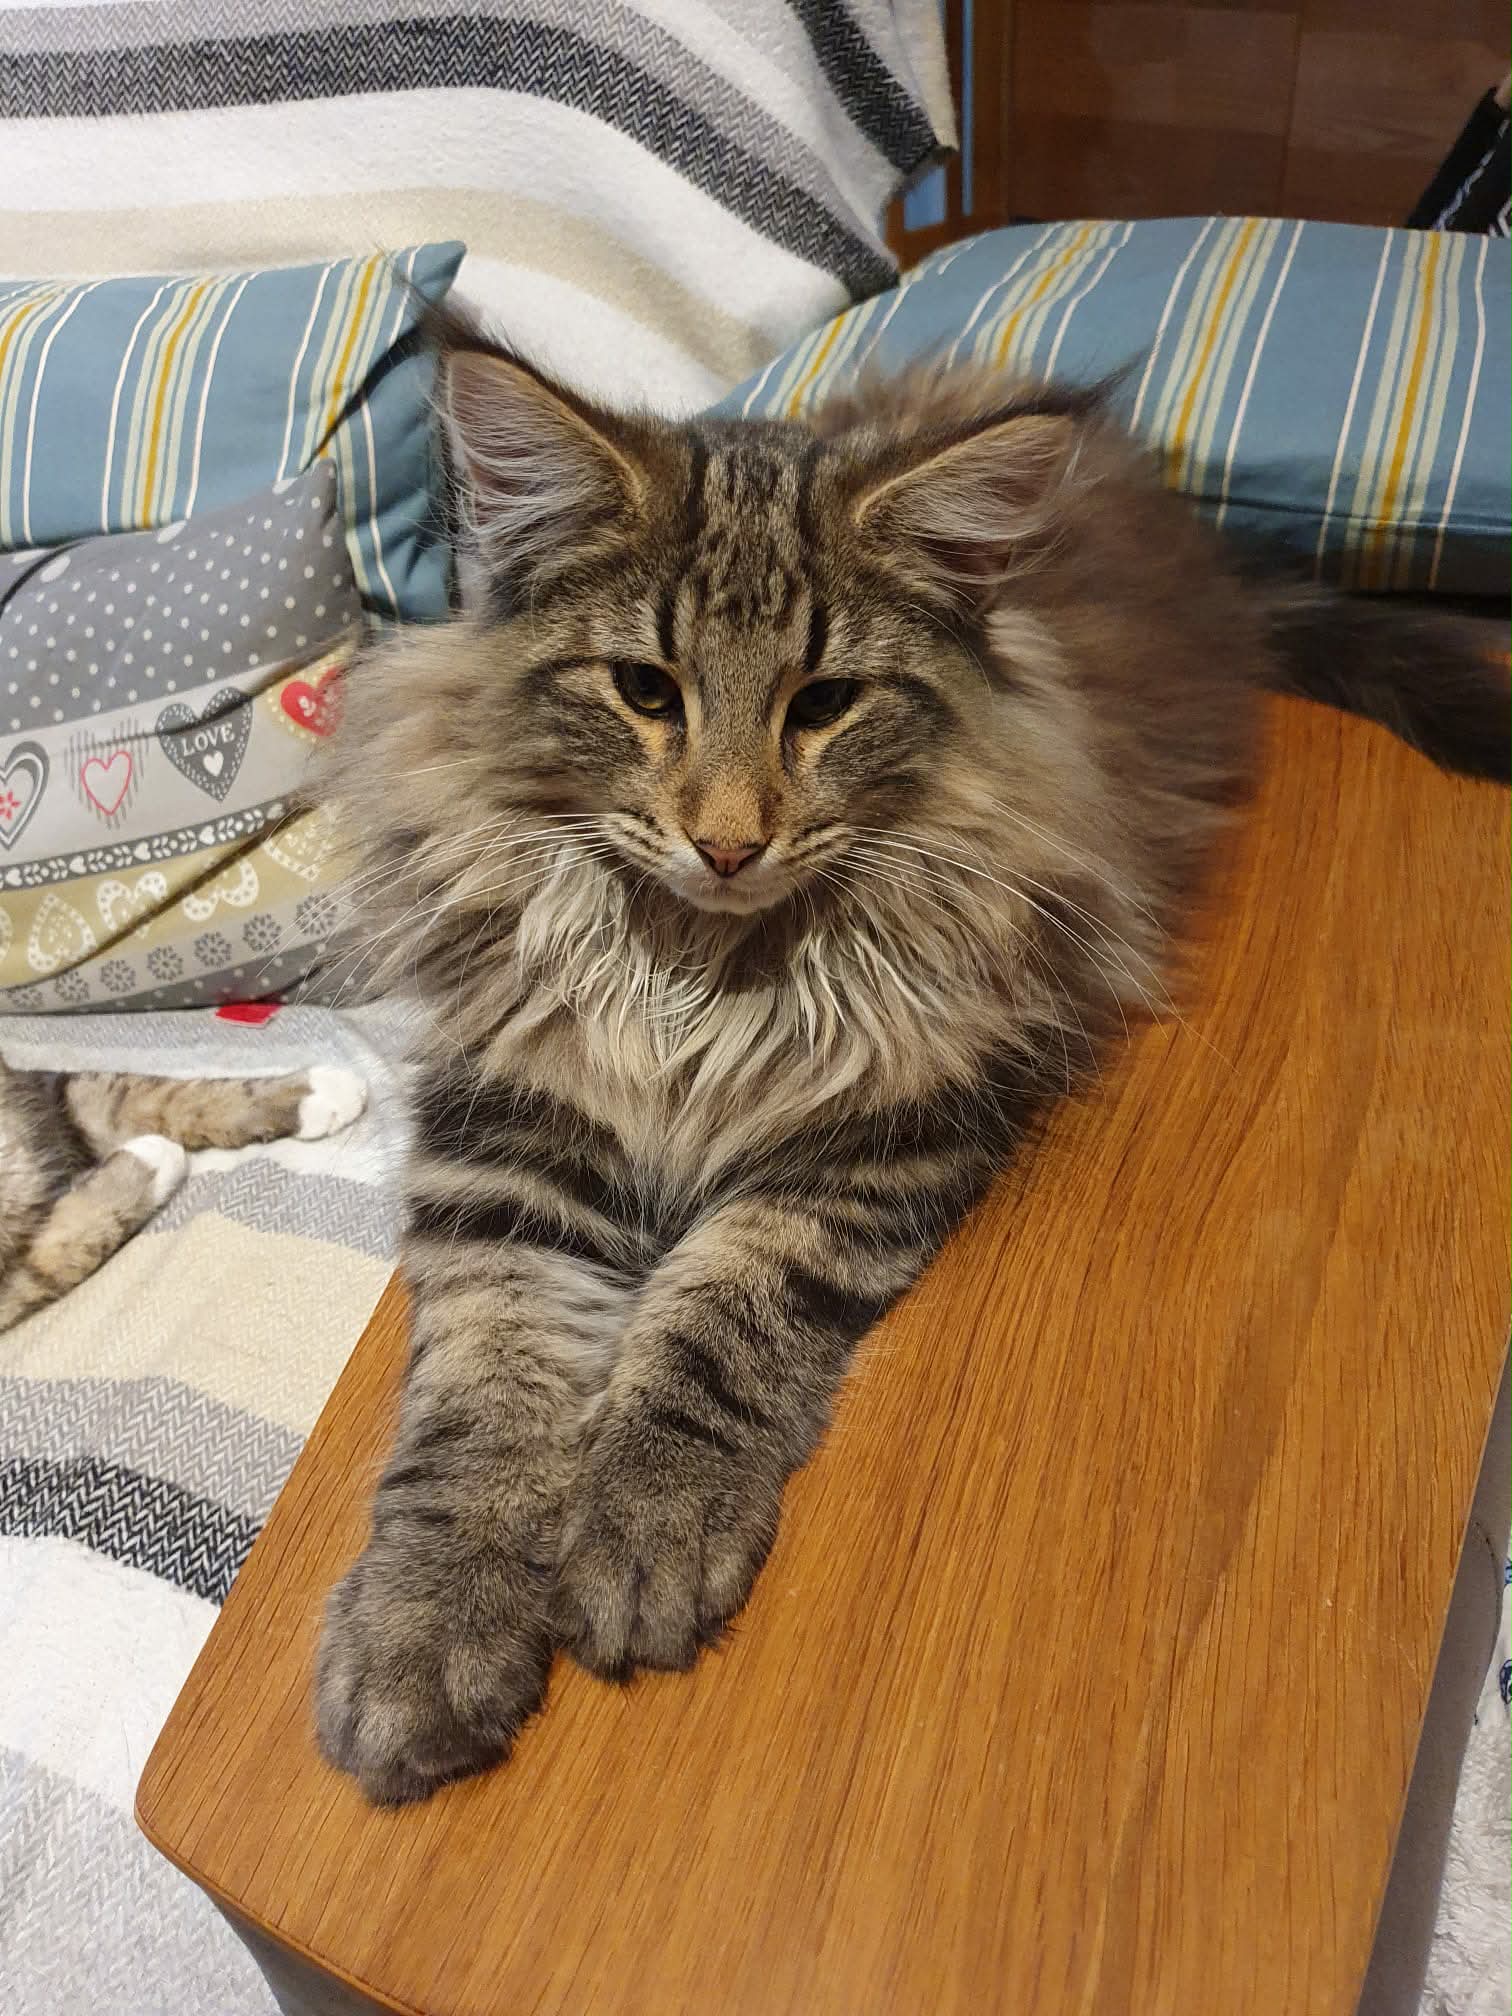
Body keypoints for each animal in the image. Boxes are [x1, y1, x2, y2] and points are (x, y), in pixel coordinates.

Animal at [313, 320, 1512, 1805]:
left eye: (824, 703)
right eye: (646, 691)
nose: (727, 841)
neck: (703, 970)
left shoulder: (874, 1129)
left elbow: (714, 1327)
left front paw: (643, 1528)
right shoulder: (518, 1124)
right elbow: (484, 1397)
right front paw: (426, 1626)